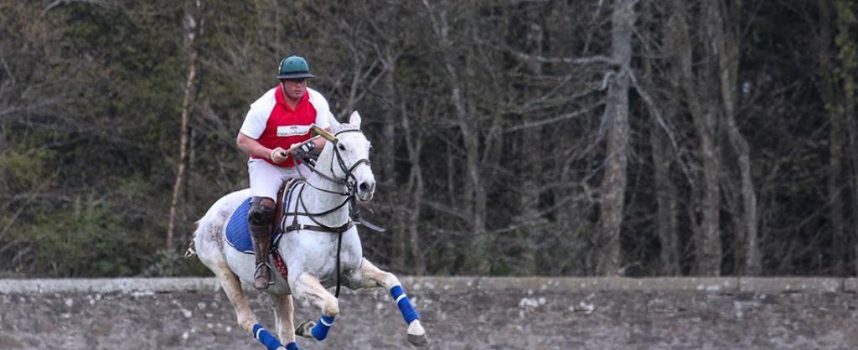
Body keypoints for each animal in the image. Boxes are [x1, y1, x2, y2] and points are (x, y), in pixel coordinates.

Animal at [189, 113, 426, 350]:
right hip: (223, 272)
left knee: (285, 329)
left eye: (368, 145)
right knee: (246, 319)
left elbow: (391, 279)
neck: (328, 222)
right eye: (341, 146)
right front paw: (310, 328)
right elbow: (332, 304)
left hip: (278, 289)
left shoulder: (353, 272)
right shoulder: (300, 280)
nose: (367, 186)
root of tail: (204, 218)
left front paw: (417, 332)